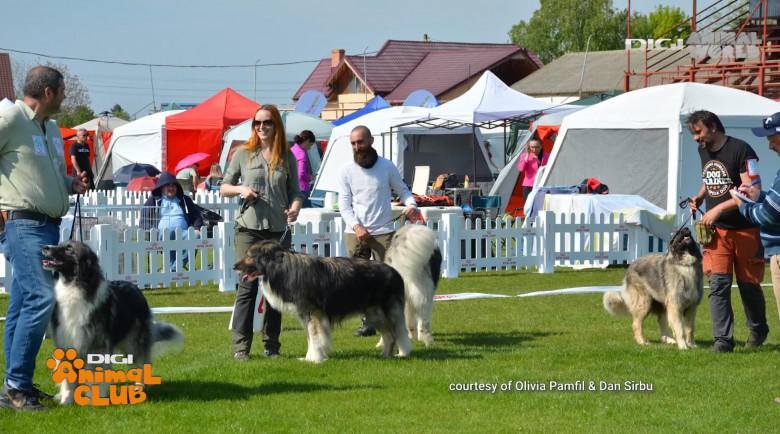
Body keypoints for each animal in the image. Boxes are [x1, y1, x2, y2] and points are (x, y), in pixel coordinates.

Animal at [42, 241, 184, 404]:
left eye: (69, 249)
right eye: (61, 244)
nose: (45, 247)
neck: (74, 285)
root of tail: (136, 288)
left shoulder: (97, 345)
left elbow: (96, 374)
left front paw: (93, 399)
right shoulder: (66, 344)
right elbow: (68, 377)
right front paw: (67, 400)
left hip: (133, 343)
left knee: (142, 362)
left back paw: (139, 386)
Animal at [233, 241, 412, 362]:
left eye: (249, 256)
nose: (234, 266)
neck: (282, 268)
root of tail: (395, 272)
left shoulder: (313, 314)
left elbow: (315, 337)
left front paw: (315, 359)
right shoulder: (306, 315)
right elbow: (310, 338)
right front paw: (309, 358)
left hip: (383, 313)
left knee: (396, 334)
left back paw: (396, 354)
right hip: (374, 315)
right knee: (390, 335)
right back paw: (386, 355)